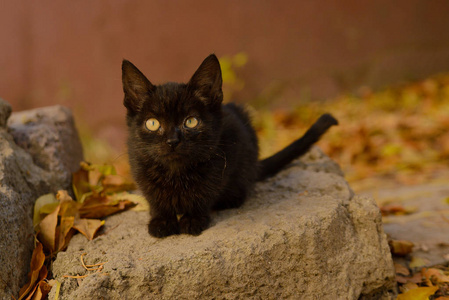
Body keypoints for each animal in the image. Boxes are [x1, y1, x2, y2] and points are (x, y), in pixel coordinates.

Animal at [121, 54, 336, 237]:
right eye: (152, 123)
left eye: (191, 121)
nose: (172, 141)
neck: (176, 171)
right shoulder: (138, 164)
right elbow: (154, 197)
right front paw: (162, 221)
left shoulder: (226, 155)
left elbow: (204, 192)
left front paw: (193, 219)